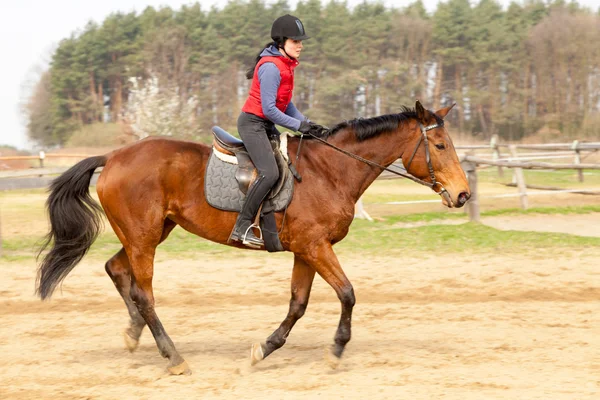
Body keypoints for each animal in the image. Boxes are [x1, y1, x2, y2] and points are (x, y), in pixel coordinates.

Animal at [36, 100, 468, 376]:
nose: (462, 195)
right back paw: (173, 357)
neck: (331, 171)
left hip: (151, 232)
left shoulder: (306, 250)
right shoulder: (315, 247)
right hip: (143, 237)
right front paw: (336, 350)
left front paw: (264, 349)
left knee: (116, 270)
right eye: (440, 145)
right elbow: (347, 294)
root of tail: (113, 157)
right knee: (143, 292)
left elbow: (298, 304)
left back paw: (133, 333)